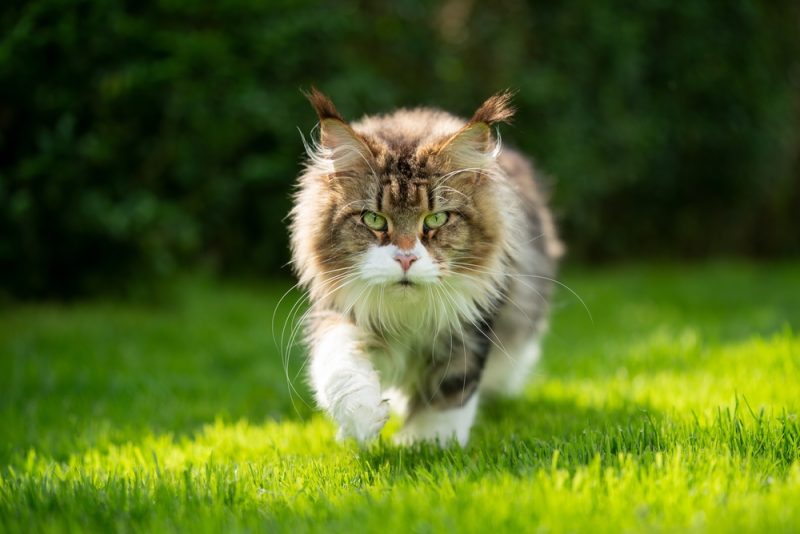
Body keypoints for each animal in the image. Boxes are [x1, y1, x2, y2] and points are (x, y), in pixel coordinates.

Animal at [290, 89, 564, 448]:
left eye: (436, 219)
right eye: (374, 219)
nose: (406, 259)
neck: (408, 317)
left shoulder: (469, 326)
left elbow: (450, 390)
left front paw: (426, 442)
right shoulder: (339, 309)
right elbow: (339, 363)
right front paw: (363, 419)